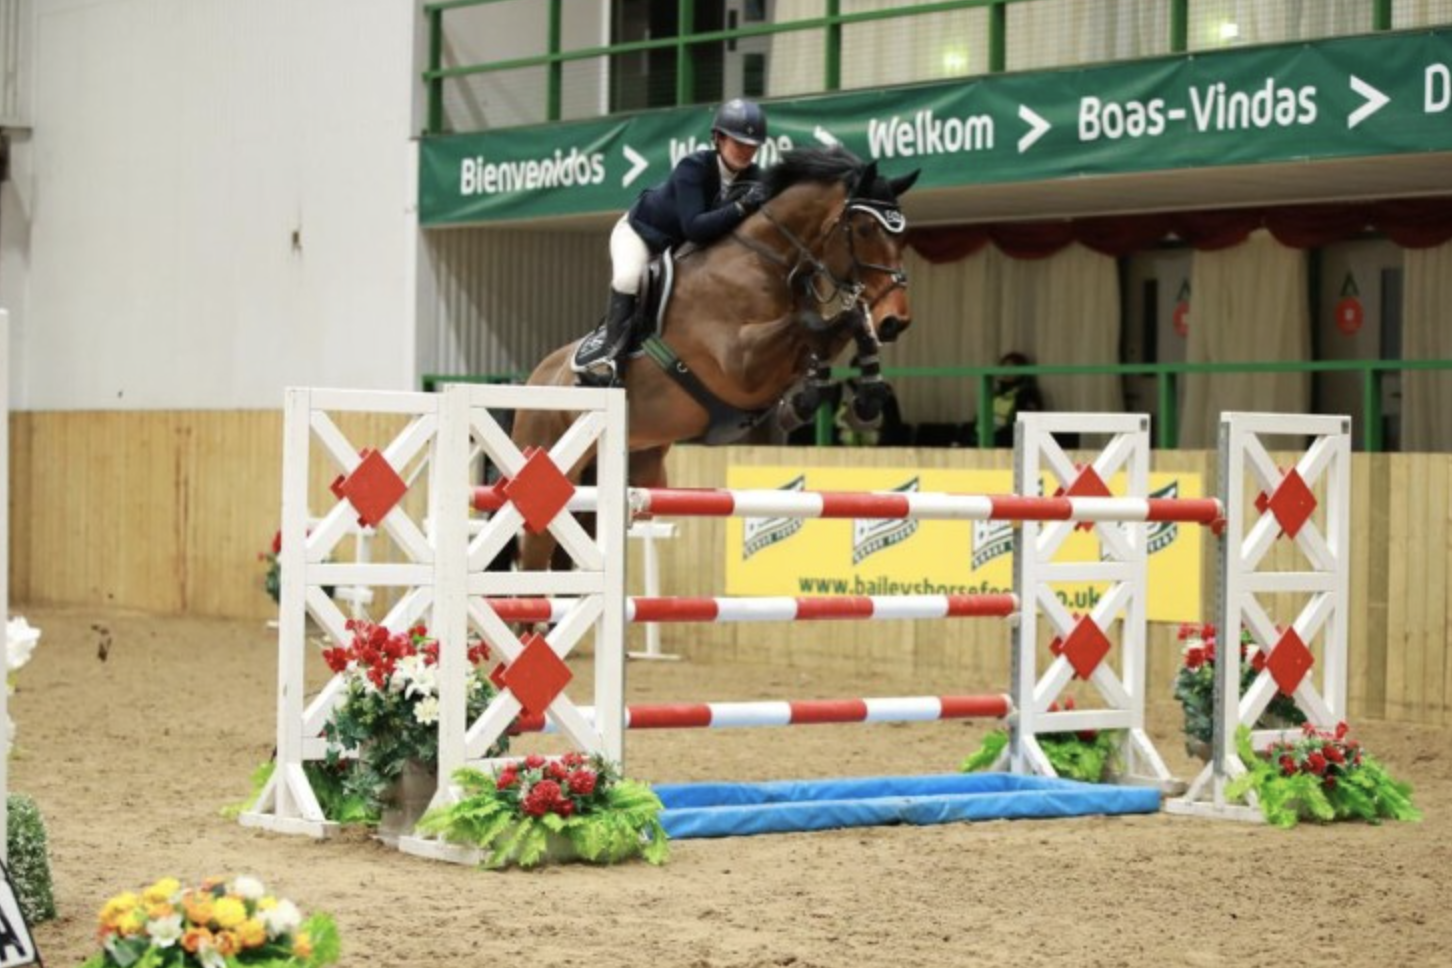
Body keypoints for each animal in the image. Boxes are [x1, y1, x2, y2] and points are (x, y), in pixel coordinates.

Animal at [510, 145, 919, 570]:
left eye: (904, 233)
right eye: (864, 229)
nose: (896, 320)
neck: (768, 261)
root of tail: (538, 375)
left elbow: (837, 328)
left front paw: (855, 396)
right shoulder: (742, 364)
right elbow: (814, 323)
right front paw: (823, 395)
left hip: (628, 468)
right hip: (551, 456)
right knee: (537, 549)